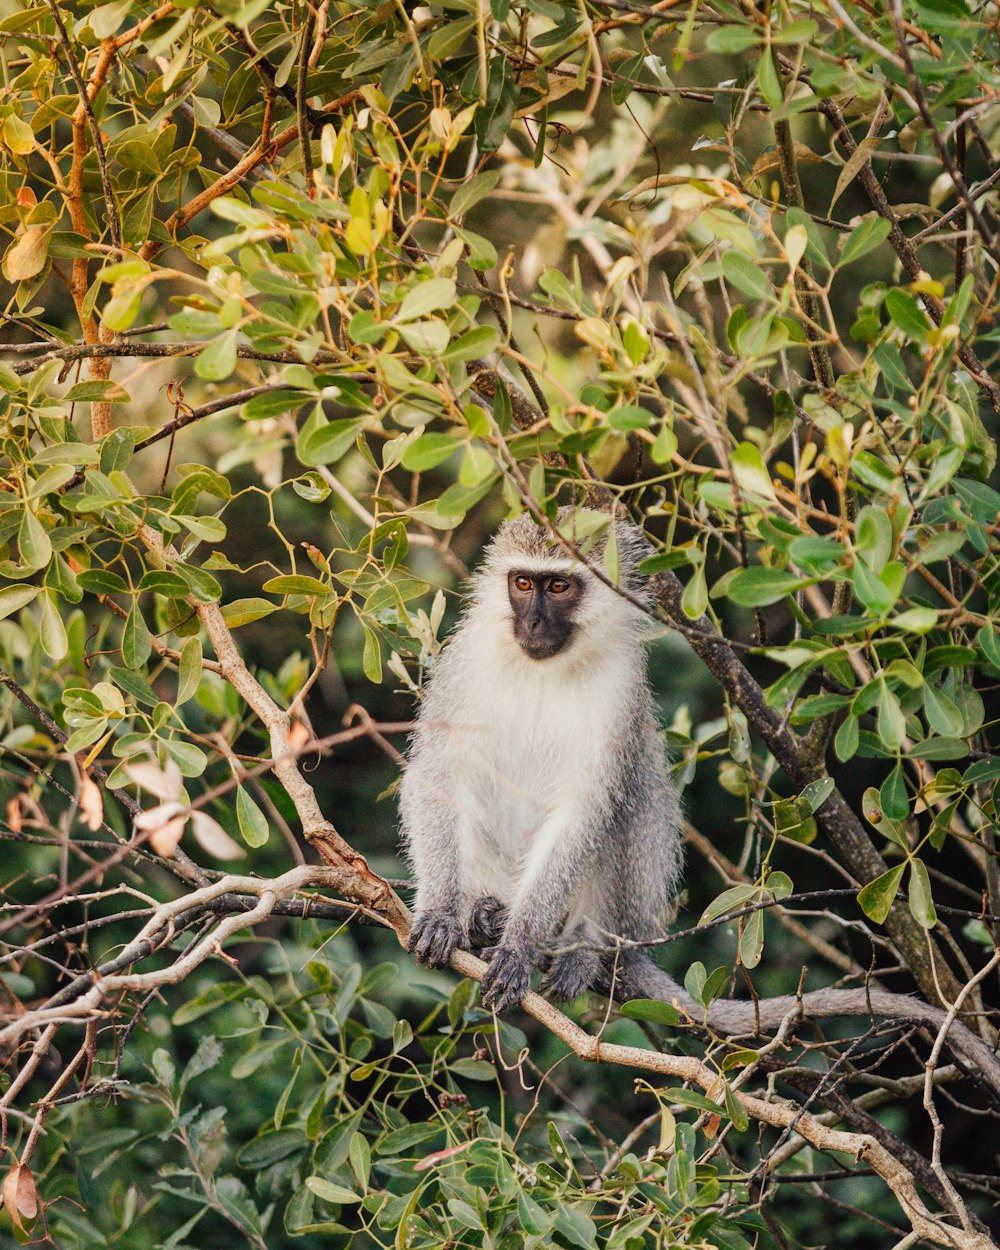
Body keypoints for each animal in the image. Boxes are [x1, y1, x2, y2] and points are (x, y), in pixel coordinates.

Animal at [397, 507, 1000, 1095]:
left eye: (559, 586)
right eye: (523, 584)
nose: (533, 624)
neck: (543, 667)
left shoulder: (620, 691)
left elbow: (586, 811)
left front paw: (522, 945)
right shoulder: (464, 663)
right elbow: (439, 775)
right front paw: (441, 914)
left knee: (631, 796)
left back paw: (583, 947)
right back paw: (483, 912)